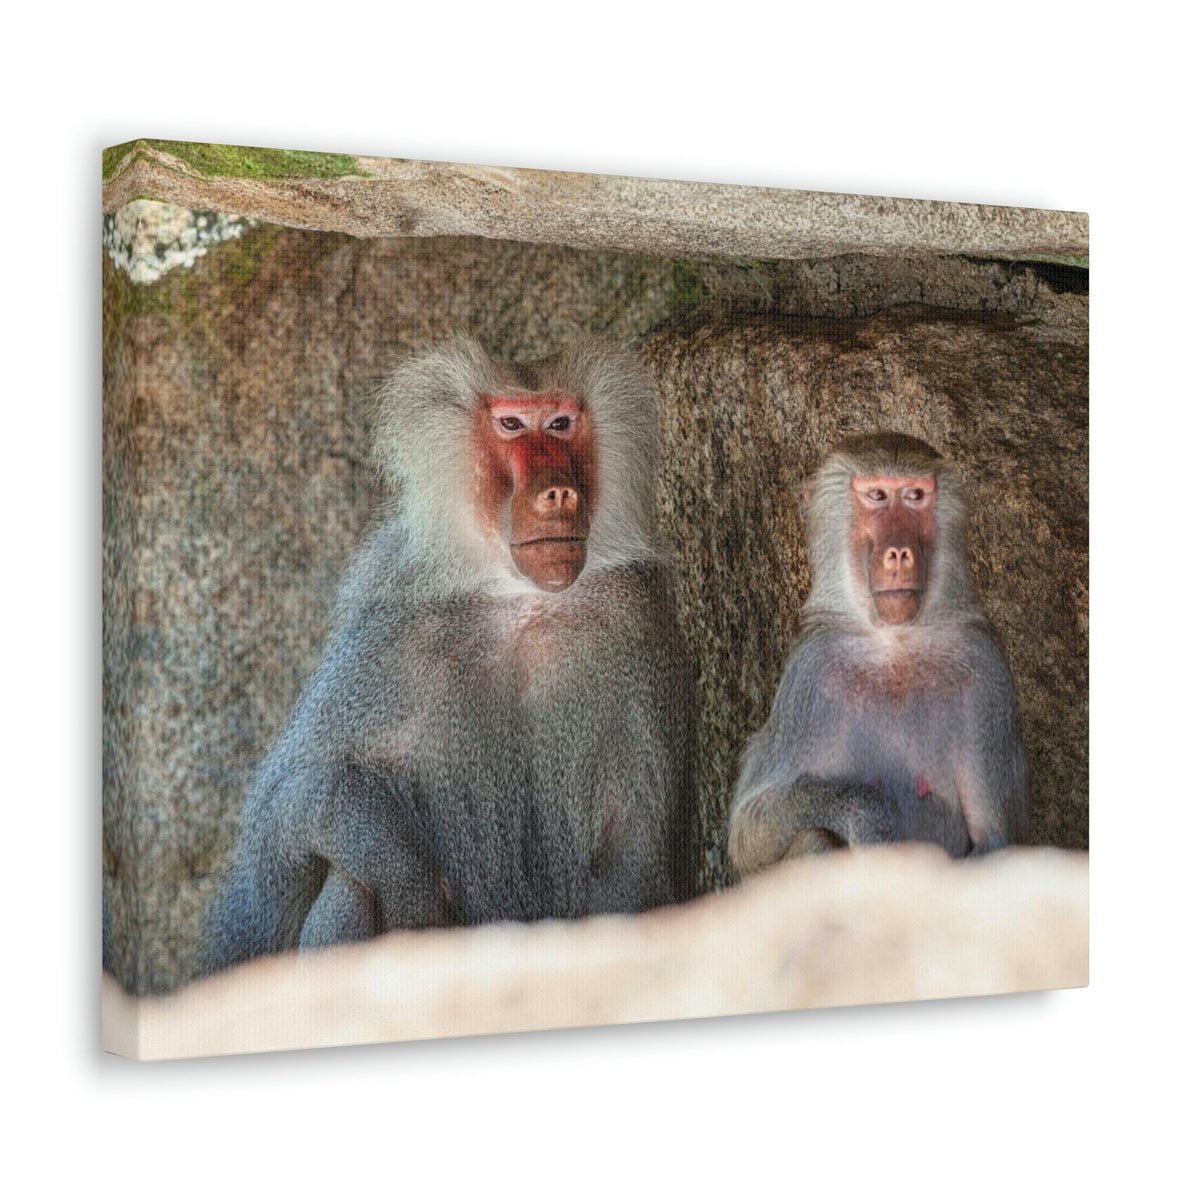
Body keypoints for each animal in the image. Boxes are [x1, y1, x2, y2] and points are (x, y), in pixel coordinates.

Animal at [199, 335, 696, 974]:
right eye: (511, 424)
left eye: (561, 424)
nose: (559, 492)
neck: (518, 597)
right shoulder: (390, 631)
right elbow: (281, 821)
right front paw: (407, 879)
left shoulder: (635, 623)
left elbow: (633, 855)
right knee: (348, 879)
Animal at [728, 432, 1028, 878]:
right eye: (876, 496)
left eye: (915, 495)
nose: (900, 552)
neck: (895, 645)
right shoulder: (810, 675)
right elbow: (748, 830)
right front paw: (867, 816)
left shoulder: (987, 673)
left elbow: (995, 842)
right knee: (814, 836)